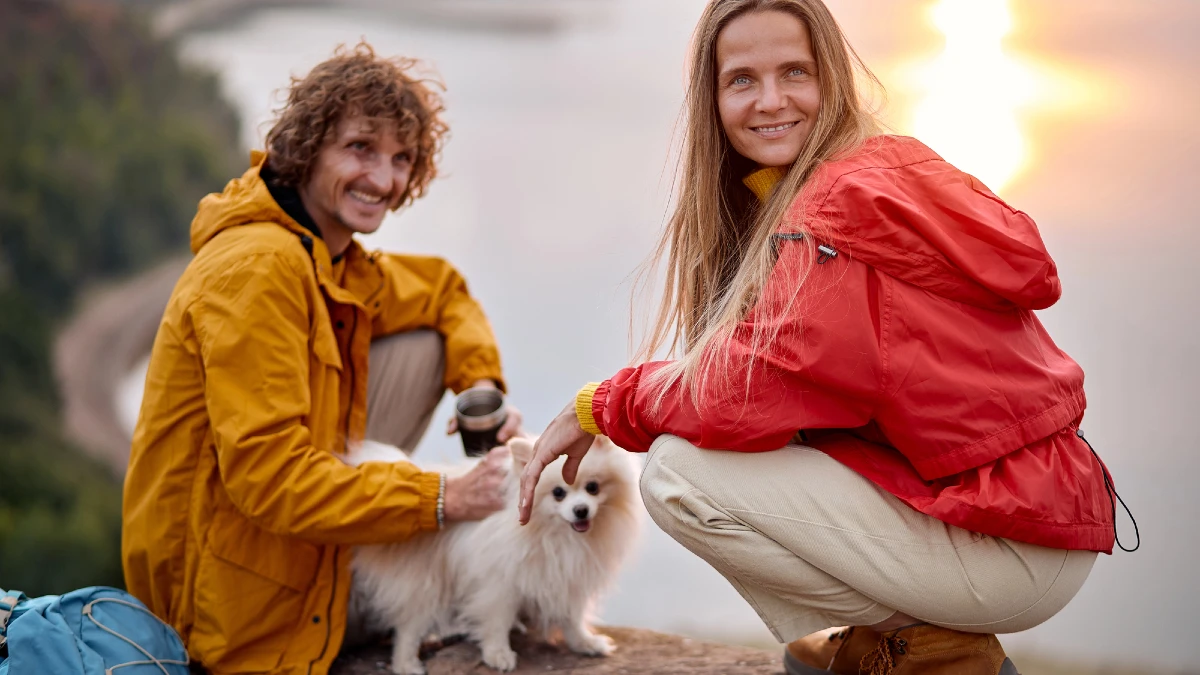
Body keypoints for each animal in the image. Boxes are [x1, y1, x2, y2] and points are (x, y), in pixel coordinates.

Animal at [343, 432, 643, 667]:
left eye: (593, 487)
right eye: (558, 493)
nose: (581, 510)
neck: (555, 535)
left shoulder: (568, 575)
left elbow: (572, 616)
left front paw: (584, 643)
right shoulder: (499, 581)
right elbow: (497, 619)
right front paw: (498, 654)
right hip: (426, 579)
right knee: (408, 627)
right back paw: (407, 664)